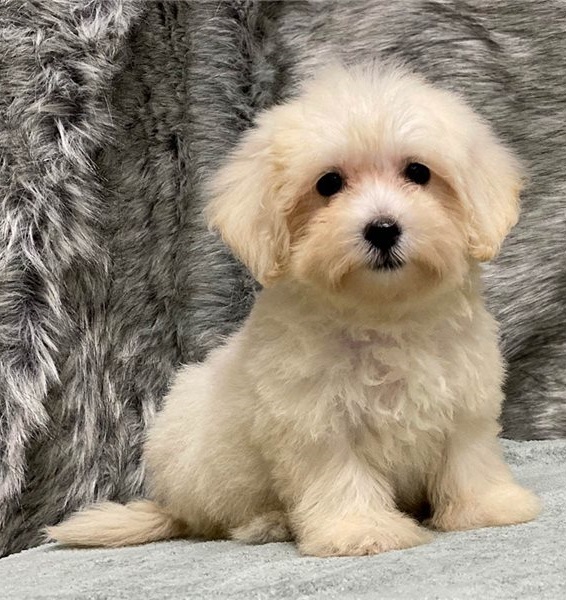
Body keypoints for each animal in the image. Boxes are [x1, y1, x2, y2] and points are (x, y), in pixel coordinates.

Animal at [47, 63, 540, 556]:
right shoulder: (315, 420)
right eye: (329, 184)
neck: (382, 313)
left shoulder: (465, 399)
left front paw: (486, 508)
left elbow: (467, 458)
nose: (382, 228)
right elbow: (341, 476)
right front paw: (360, 530)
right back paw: (267, 523)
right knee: (218, 519)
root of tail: (171, 506)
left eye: (418, 172)